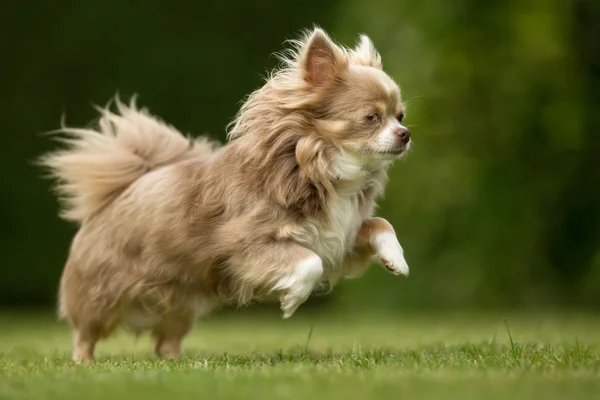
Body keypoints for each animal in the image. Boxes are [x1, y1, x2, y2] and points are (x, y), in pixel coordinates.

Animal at [38, 28, 412, 362]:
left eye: (400, 116)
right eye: (371, 117)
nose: (405, 133)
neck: (323, 171)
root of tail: (115, 196)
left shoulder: (338, 239)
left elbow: (380, 224)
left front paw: (396, 259)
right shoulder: (246, 248)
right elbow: (308, 263)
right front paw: (292, 300)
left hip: (178, 307)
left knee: (165, 341)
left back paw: (175, 363)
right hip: (101, 298)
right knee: (84, 334)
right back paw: (83, 364)